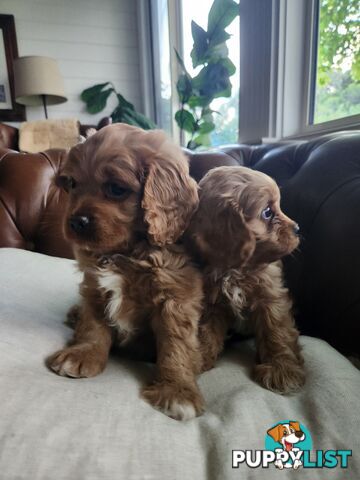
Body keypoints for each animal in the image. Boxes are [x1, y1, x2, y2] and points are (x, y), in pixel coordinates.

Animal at [47, 124, 205, 420]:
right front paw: (83, 354)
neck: (124, 253)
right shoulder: (94, 287)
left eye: (117, 189)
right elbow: (93, 325)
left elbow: (176, 345)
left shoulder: (176, 298)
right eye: (72, 184)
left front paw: (178, 390)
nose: (76, 221)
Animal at [187, 165, 306, 394]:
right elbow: (207, 332)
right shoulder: (213, 303)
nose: (297, 228)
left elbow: (277, 331)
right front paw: (200, 358)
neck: (236, 270)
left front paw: (281, 369)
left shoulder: (271, 297)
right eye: (267, 212)